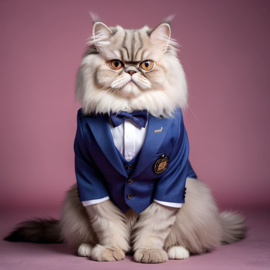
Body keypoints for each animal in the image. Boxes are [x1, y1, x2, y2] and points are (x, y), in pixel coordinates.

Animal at [4, 17, 246, 264]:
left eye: (146, 65)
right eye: (116, 64)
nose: (130, 71)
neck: (129, 113)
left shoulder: (171, 180)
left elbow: (156, 225)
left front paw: (149, 253)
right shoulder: (90, 178)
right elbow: (106, 224)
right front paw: (110, 250)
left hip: (193, 193)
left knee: (187, 238)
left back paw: (176, 251)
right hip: (75, 196)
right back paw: (88, 248)